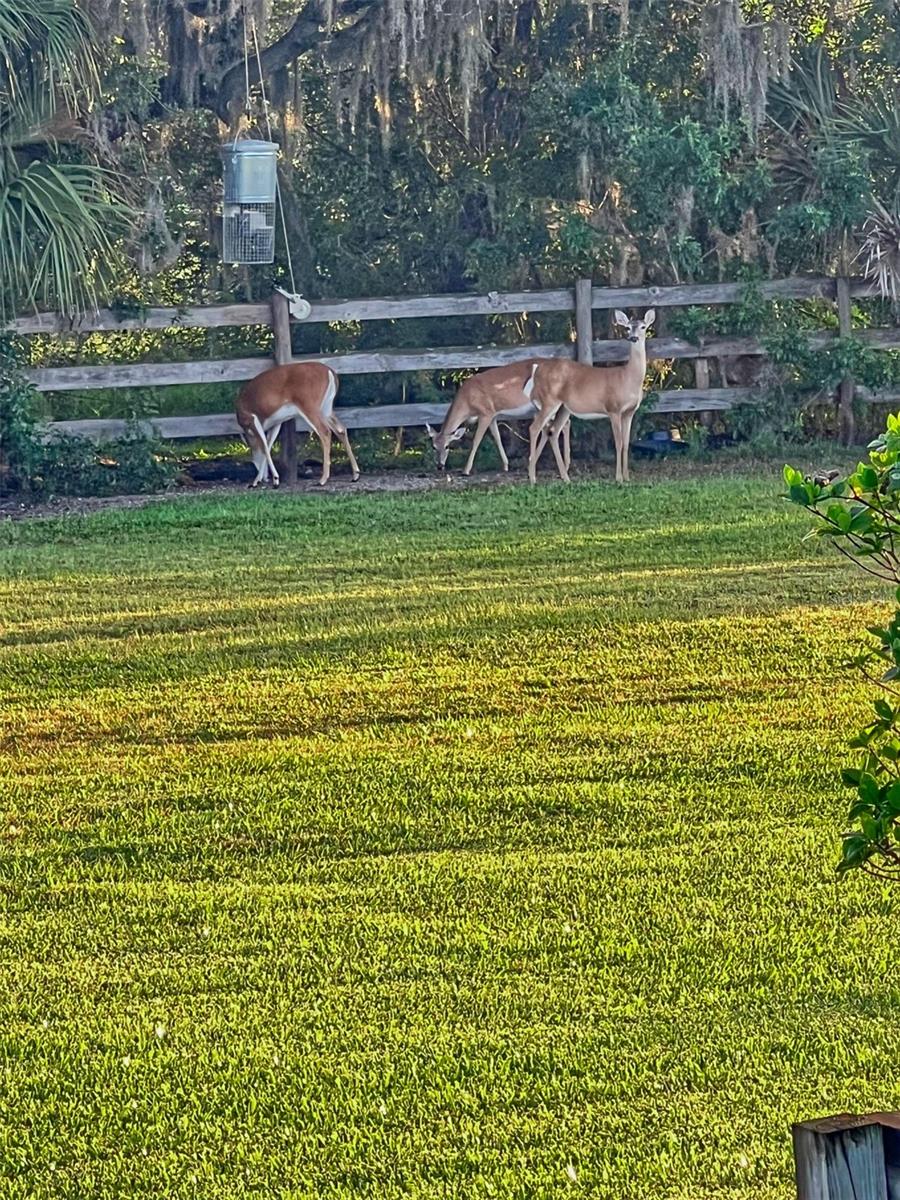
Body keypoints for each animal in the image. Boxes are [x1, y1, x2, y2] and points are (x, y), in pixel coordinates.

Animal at [425, 359, 555, 475]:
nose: (440, 466)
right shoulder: (493, 415)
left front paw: (466, 470)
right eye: (433, 446)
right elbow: (497, 437)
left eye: (447, 446)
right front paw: (506, 465)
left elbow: (476, 440)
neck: (467, 403)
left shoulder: (486, 413)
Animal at [527, 309, 655, 485]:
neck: (627, 378)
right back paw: (533, 478)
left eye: (643, 326)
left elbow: (627, 443)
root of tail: (537, 372)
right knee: (535, 428)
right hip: (549, 401)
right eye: (628, 328)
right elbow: (618, 442)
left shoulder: (629, 412)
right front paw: (618, 478)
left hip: (563, 407)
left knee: (552, 431)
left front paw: (627, 477)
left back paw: (565, 478)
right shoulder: (613, 408)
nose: (633, 338)